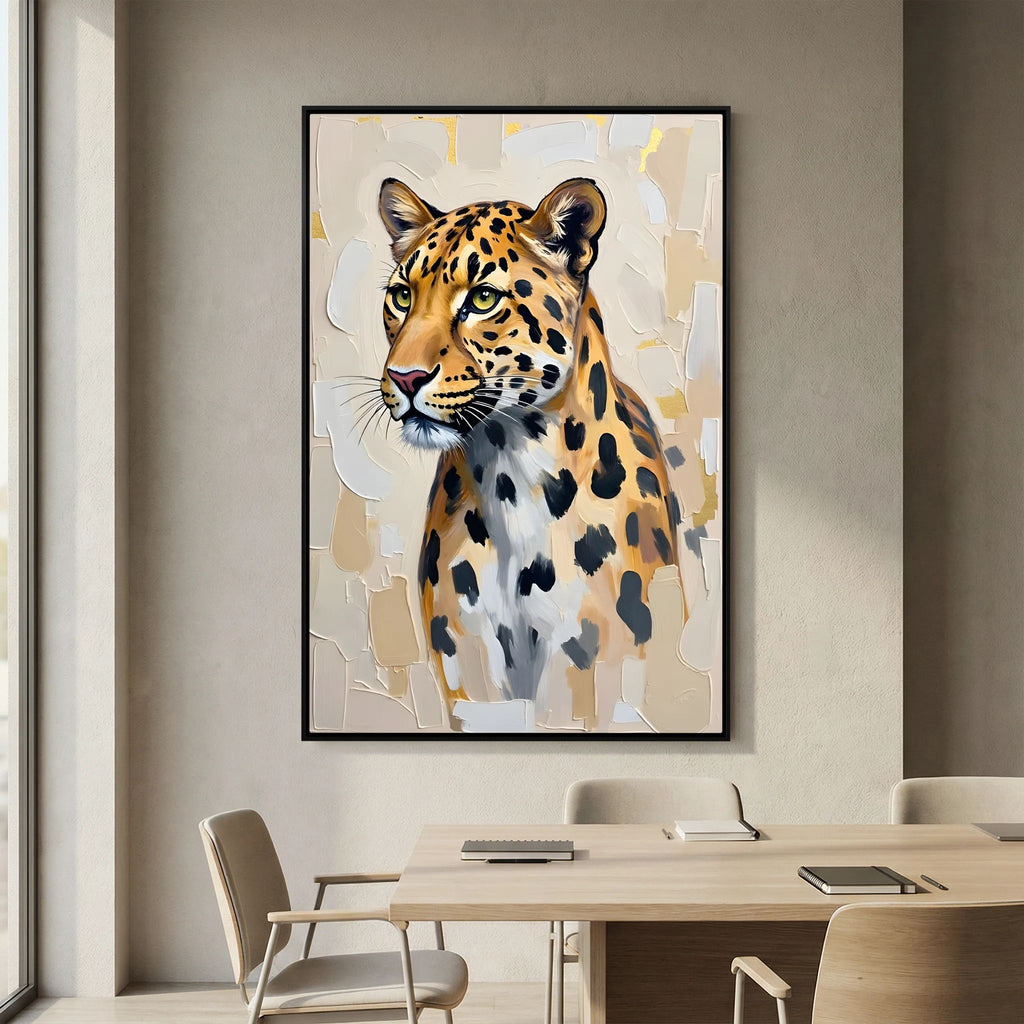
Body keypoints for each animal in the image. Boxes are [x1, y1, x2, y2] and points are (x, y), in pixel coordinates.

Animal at [376, 176, 686, 726]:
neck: (509, 472)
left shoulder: (587, 665)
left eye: (482, 298)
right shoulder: (468, 667)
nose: (404, 377)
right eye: (401, 296)